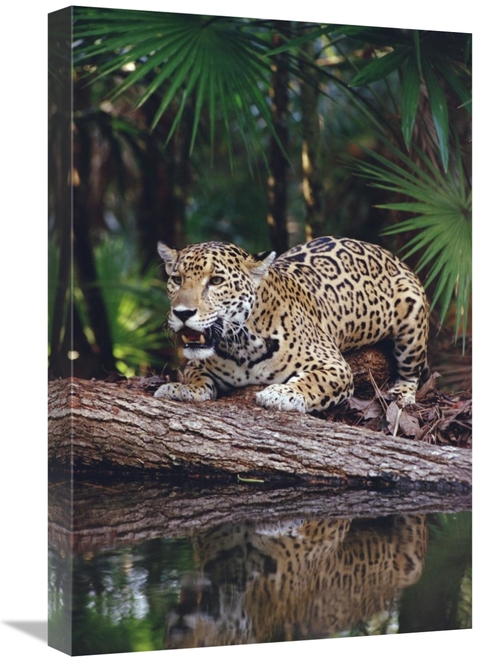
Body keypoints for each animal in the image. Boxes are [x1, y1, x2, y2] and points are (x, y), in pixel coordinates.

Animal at [154, 235, 429, 413]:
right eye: (177, 279)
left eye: (216, 280)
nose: (182, 313)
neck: (241, 347)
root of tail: (391, 255)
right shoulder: (197, 364)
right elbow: (195, 375)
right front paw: (182, 389)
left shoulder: (335, 366)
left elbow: (313, 381)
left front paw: (280, 393)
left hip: (411, 323)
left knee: (411, 372)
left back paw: (400, 396)